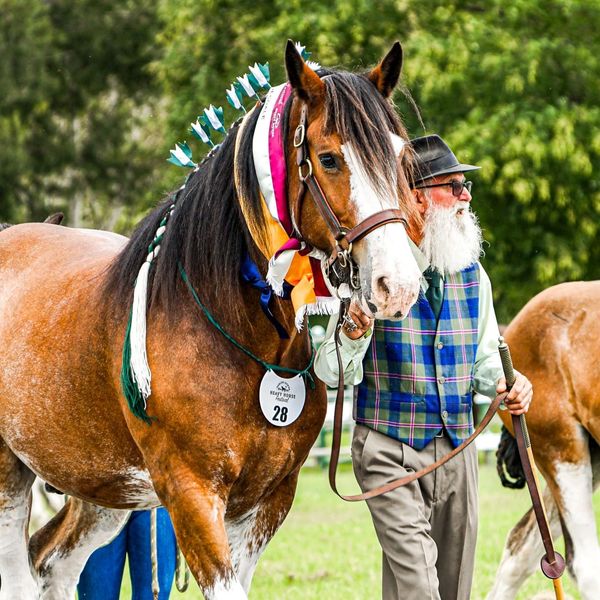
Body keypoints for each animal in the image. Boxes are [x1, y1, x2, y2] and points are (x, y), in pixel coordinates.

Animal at [0, 43, 420, 600]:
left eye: (399, 155)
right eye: (329, 158)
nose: (398, 285)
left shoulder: (267, 501)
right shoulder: (191, 495)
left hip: (102, 488)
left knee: (52, 565)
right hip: (11, 475)